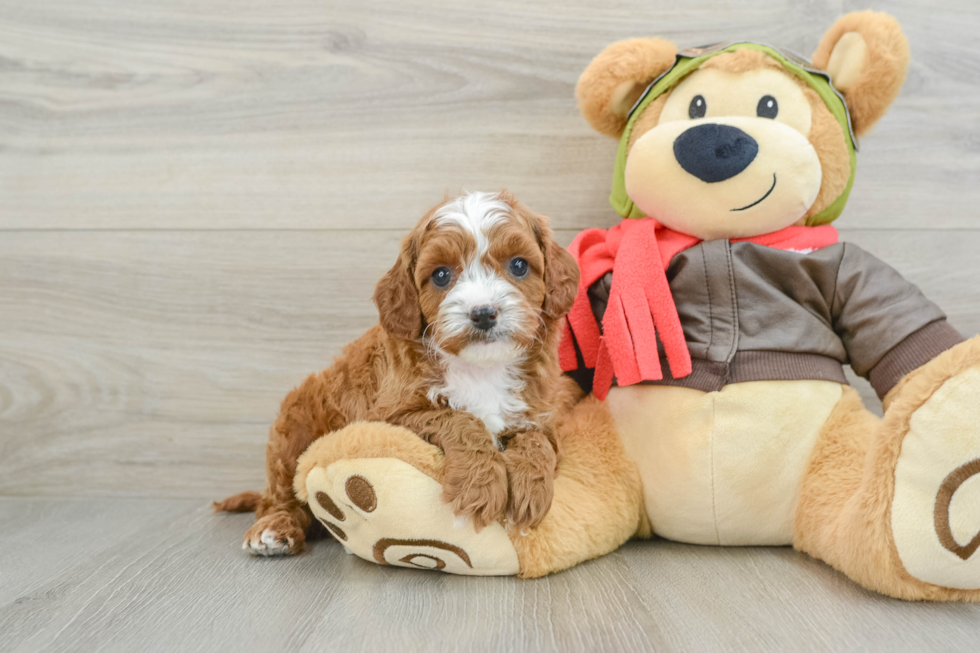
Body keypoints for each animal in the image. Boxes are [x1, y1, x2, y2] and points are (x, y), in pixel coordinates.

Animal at [215, 190, 580, 556]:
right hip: (294, 425)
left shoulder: (541, 411)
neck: (481, 368)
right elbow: (458, 418)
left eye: (519, 265)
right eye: (441, 275)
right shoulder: (388, 415)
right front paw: (480, 486)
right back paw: (274, 527)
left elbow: (537, 440)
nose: (483, 313)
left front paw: (531, 489)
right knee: (280, 495)